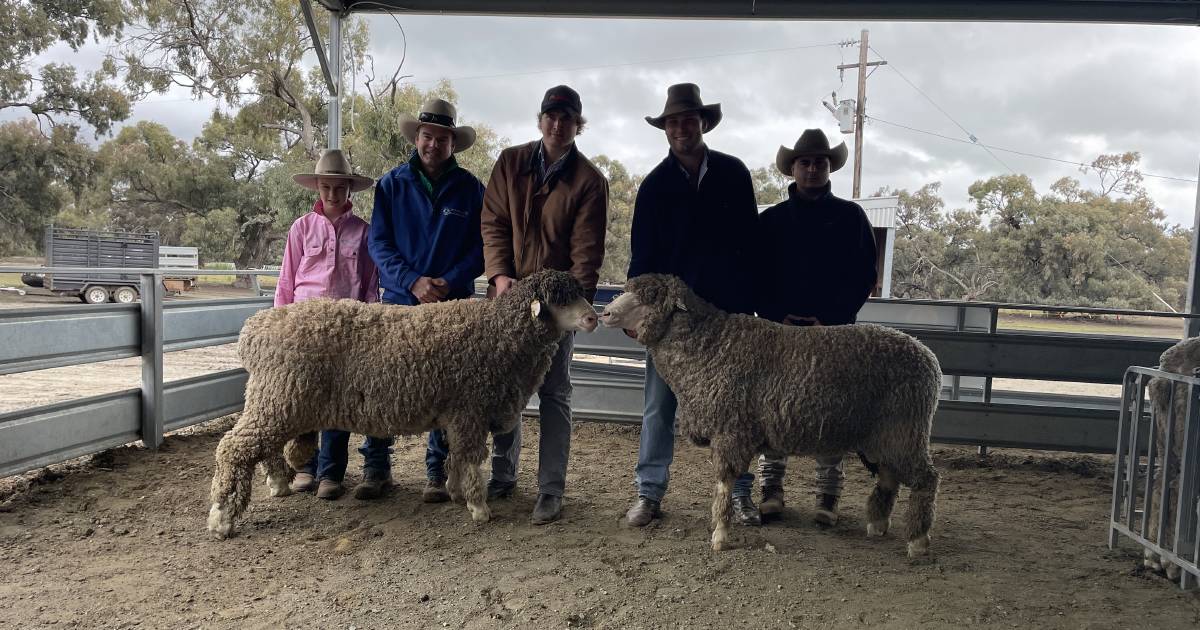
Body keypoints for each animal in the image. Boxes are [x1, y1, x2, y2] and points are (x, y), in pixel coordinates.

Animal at [210, 267, 600, 537]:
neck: (499, 334)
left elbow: (456, 457)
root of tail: (255, 329)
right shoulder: (470, 409)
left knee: (265, 448)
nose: (594, 317)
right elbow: (471, 458)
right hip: (279, 396)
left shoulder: (458, 413)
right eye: (559, 298)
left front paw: (454, 492)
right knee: (234, 448)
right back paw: (222, 518)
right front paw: (478, 507)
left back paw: (277, 485)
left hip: (278, 400)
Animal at [600, 274, 945, 554]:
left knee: (926, 479)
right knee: (889, 478)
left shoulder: (731, 431)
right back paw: (877, 525)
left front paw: (720, 536)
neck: (709, 345)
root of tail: (927, 355)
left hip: (905, 430)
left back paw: (918, 541)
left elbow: (723, 486)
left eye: (651, 295)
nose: (605, 312)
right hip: (882, 437)